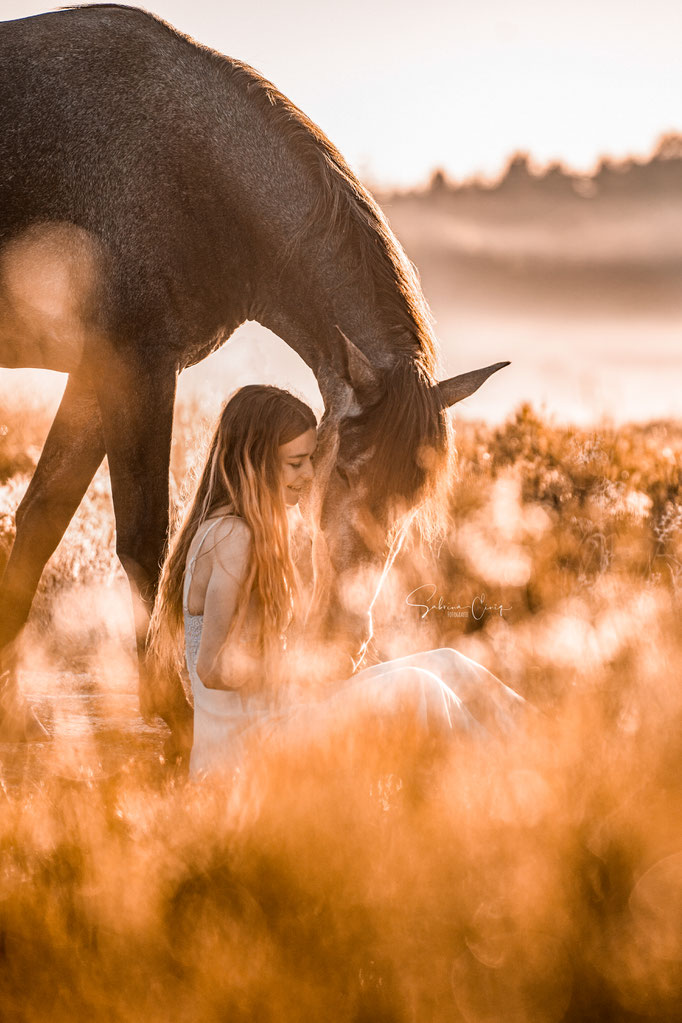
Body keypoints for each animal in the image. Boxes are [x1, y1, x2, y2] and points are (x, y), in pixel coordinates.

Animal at [0, 3, 507, 748]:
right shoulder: (138, 368)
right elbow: (146, 542)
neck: (192, 166)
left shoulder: (100, 376)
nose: (345, 638)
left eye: (417, 494)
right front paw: (173, 710)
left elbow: (41, 520)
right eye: (342, 472)